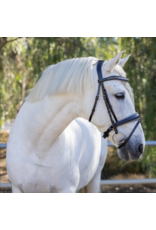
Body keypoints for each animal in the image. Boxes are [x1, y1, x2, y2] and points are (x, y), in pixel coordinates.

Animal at [6, 52, 145, 192]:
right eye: (120, 95)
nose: (140, 146)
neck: (38, 146)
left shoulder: (67, 188)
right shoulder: (17, 188)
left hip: (95, 178)